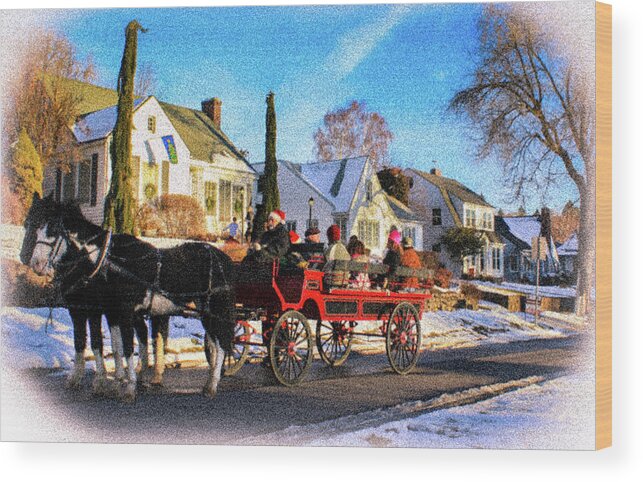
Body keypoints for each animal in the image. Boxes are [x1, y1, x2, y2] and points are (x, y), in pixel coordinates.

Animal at [20, 194, 238, 402]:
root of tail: (224, 258)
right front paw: (111, 382)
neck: (105, 261)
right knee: (214, 343)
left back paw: (212, 385)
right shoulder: (102, 311)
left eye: (53, 229)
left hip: (216, 308)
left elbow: (122, 347)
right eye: (31, 224)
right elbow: (103, 346)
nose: (34, 263)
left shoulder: (111, 311)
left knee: (220, 343)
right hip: (205, 310)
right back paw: (207, 382)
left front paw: (126, 387)